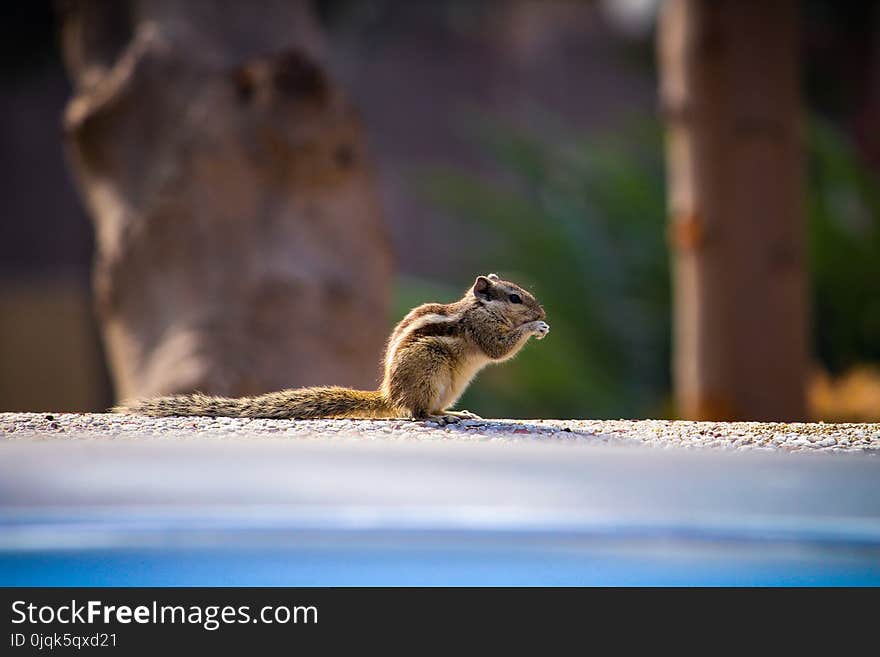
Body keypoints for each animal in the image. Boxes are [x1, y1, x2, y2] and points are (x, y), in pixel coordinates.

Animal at [113, 272, 548, 422]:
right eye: (514, 298)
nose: (542, 310)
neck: (479, 307)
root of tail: (388, 394)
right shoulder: (482, 329)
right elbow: (498, 350)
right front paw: (534, 326)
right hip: (428, 368)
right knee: (414, 413)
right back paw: (436, 417)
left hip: (448, 384)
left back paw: (457, 413)